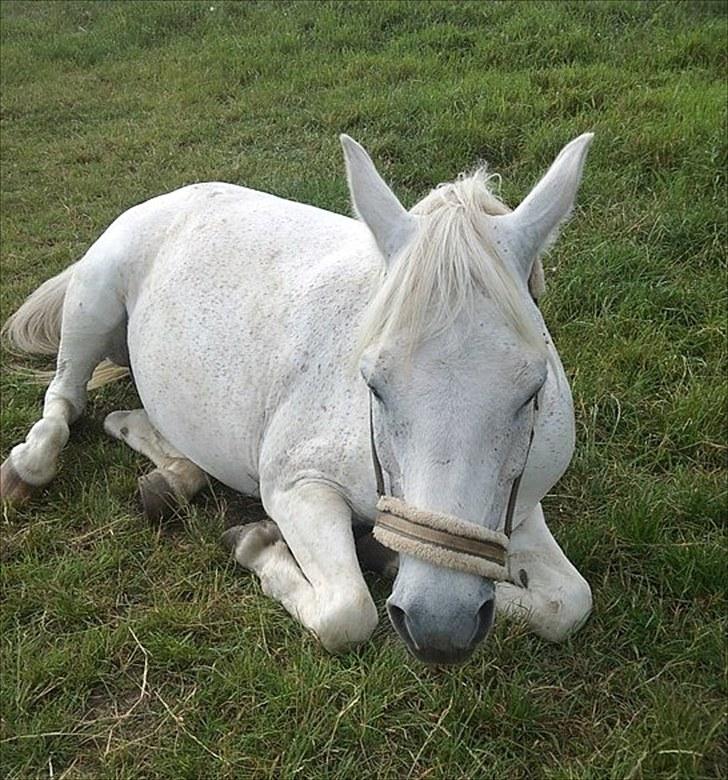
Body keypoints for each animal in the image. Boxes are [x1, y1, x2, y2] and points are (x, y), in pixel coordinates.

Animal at [0, 134, 596, 664]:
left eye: (532, 392)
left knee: (133, 422)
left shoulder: (517, 507)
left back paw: (171, 473)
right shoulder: (297, 487)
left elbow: (569, 603)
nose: (440, 626)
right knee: (66, 399)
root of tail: (170, 196)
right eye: (373, 384)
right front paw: (258, 546)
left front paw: (382, 556)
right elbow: (348, 613)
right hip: (92, 305)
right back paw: (31, 465)